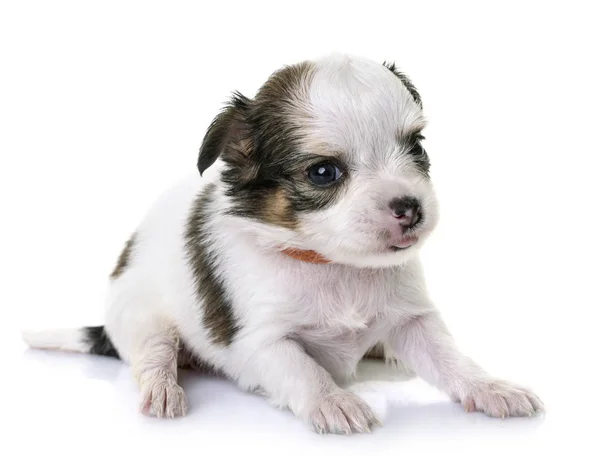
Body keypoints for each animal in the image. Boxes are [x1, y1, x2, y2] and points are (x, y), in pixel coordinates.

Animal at [22, 55, 544, 432]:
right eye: (324, 172)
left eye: (417, 147)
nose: (410, 207)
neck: (334, 265)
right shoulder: (261, 340)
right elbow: (302, 368)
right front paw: (333, 401)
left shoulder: (415, 319)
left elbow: (451, 359)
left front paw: (491, 386)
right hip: (141, 314)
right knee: (154, 354)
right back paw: (163, 385)